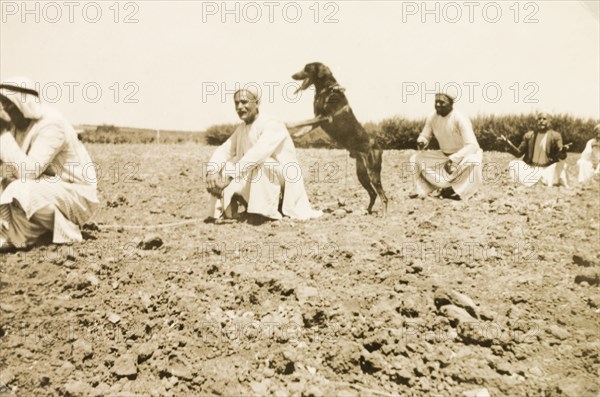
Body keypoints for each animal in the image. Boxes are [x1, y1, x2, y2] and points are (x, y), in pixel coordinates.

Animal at [292, 62, 390, 215]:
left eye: (307, 69)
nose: (293, 75)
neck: (327, 90)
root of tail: (379, 147)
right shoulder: (317, 120)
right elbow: (303, 128)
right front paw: (294, 135)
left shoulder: (324, 117)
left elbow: (300, 122)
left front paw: (286, 124)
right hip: (361, 173)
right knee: (373, 194)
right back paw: (366, 211)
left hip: (373, 172)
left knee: (383, 196)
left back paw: (384, 215)